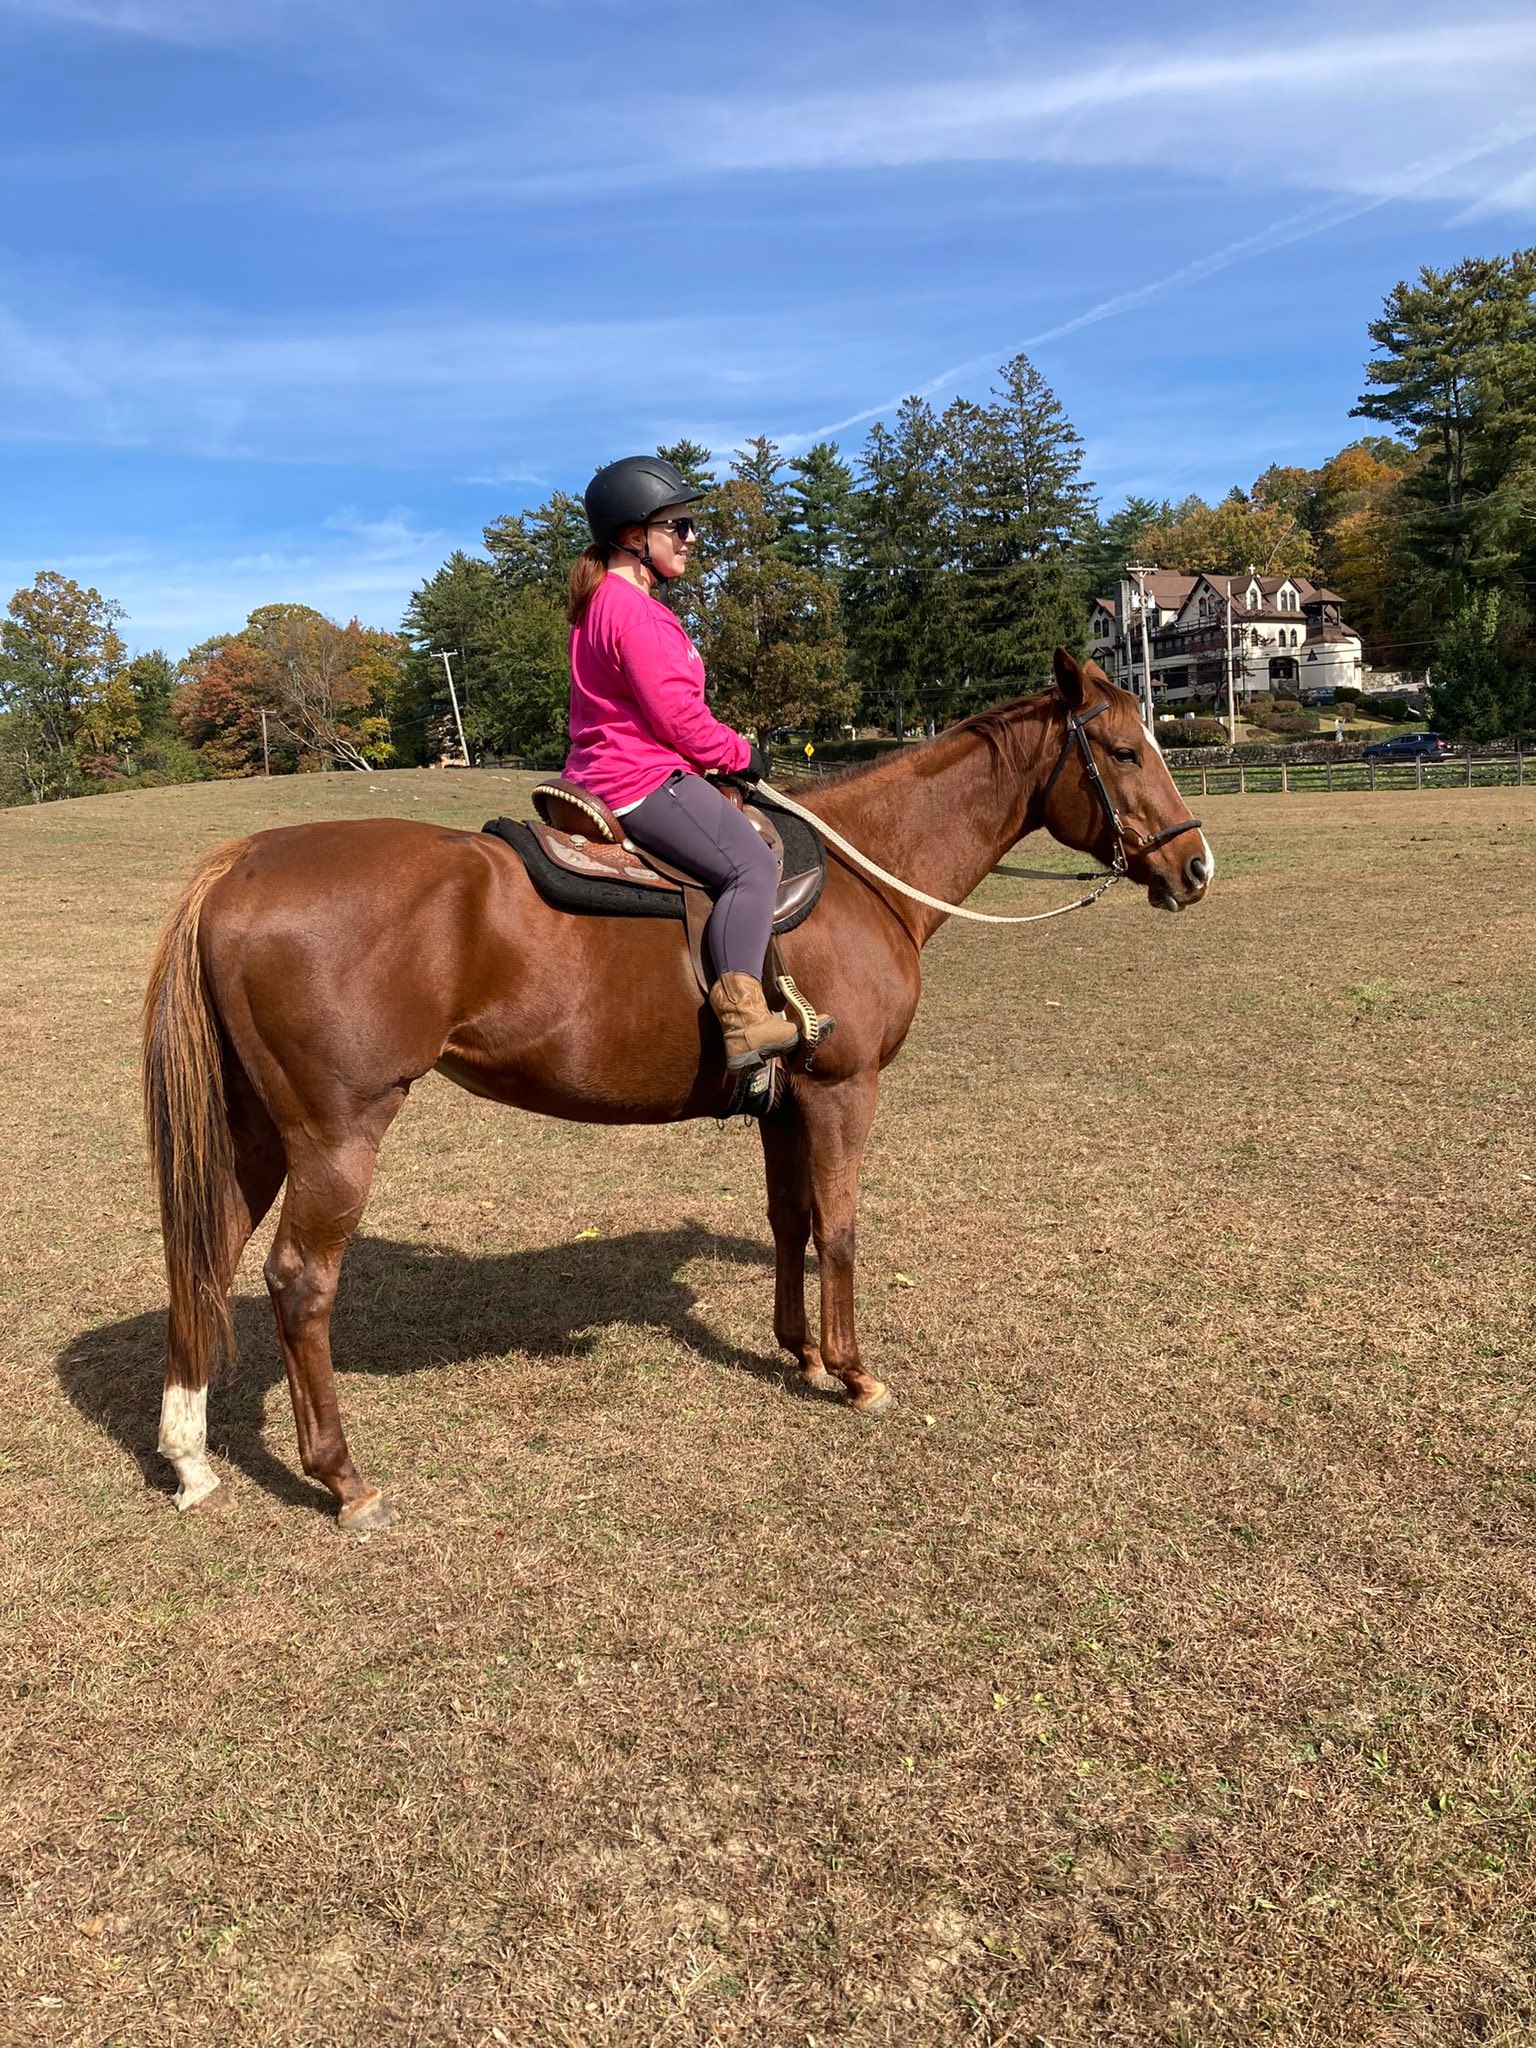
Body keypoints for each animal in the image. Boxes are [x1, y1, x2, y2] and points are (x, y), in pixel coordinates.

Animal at [142, 649, 1211, 1531]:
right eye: (1123, 749)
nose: (1194, 866)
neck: (866, 877)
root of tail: (245, 863)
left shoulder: (785, 1104)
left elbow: (791, 1221)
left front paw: (800, 1352)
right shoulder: (843, 1091)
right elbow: (840, 1228)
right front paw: (855, 1373)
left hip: (255, 1131)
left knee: (205, 1255)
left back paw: (190, 1458)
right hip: (337, 1135)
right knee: (298, 1282)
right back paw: (343, 1478)